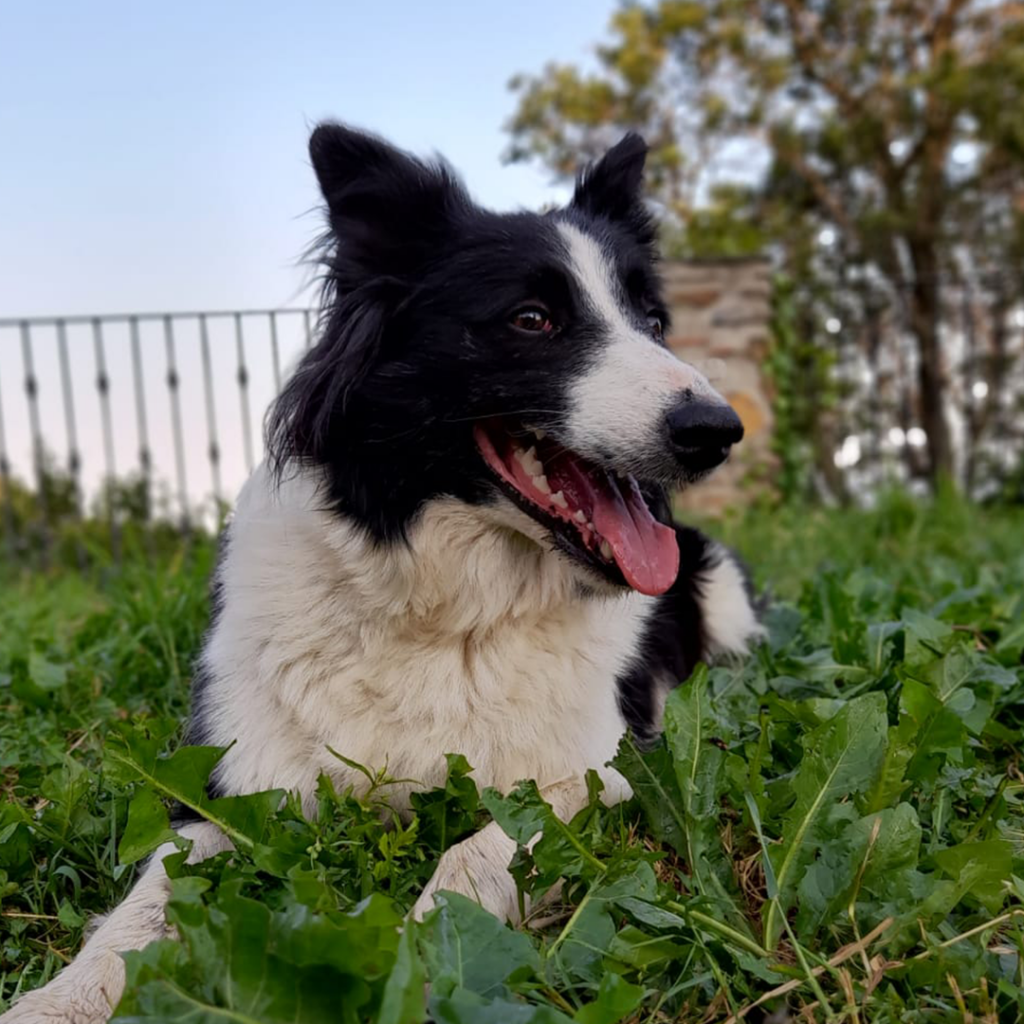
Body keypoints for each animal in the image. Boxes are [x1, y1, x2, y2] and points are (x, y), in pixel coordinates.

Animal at [6, 123, 761, 1019]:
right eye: (532, 318)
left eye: (652, 320)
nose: (718, 430)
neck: (447, 611)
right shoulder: (237, 781)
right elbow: (149, 899)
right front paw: (58, 998)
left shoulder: (598, 768)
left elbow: (476, 856)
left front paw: (422, 958)